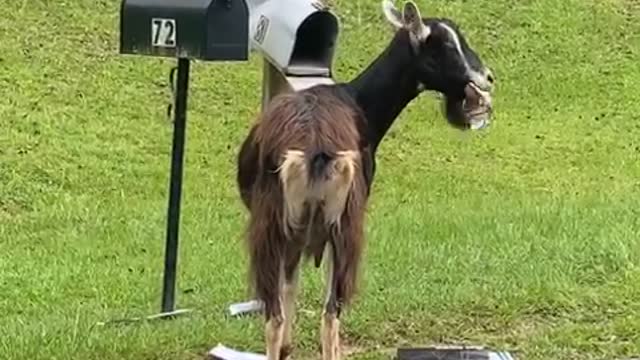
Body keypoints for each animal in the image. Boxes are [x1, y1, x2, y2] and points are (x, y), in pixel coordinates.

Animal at [235, 1, 496, 358]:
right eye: (444, 46)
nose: (487, 78)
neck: (359, 102)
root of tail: (316, 149)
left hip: (283, 229)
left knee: (287, 317)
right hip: (338, 227)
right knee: (326, 315)